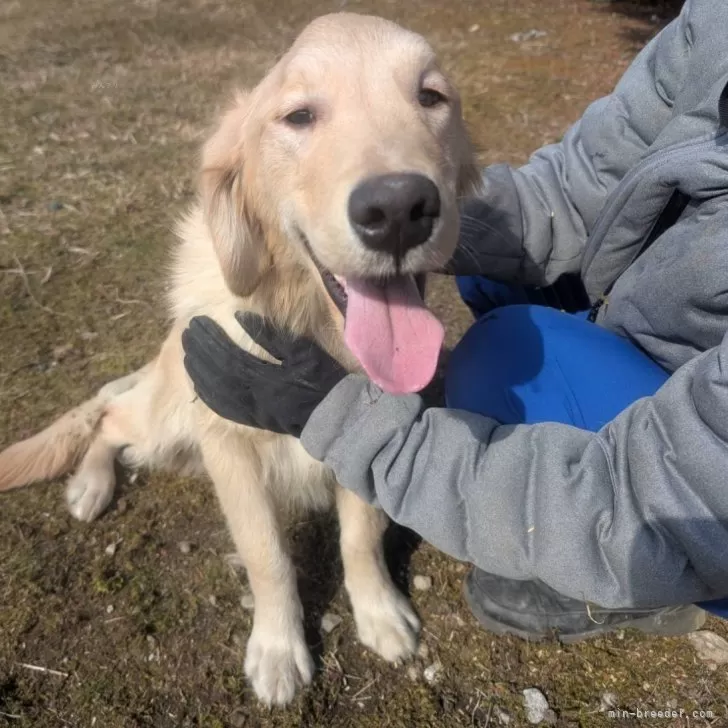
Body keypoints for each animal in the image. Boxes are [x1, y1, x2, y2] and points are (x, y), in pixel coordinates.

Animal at [0, 11, 480, 704]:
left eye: (431, 98)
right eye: (299, 116)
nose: (398, 209)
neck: (307, 326)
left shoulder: (363, 436)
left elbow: (361, 537)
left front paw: (379, 613)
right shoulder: (230, 450)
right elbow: (267, 556)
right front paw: (278, 649)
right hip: (170, 420)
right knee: (111, 417)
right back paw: (90, 486)